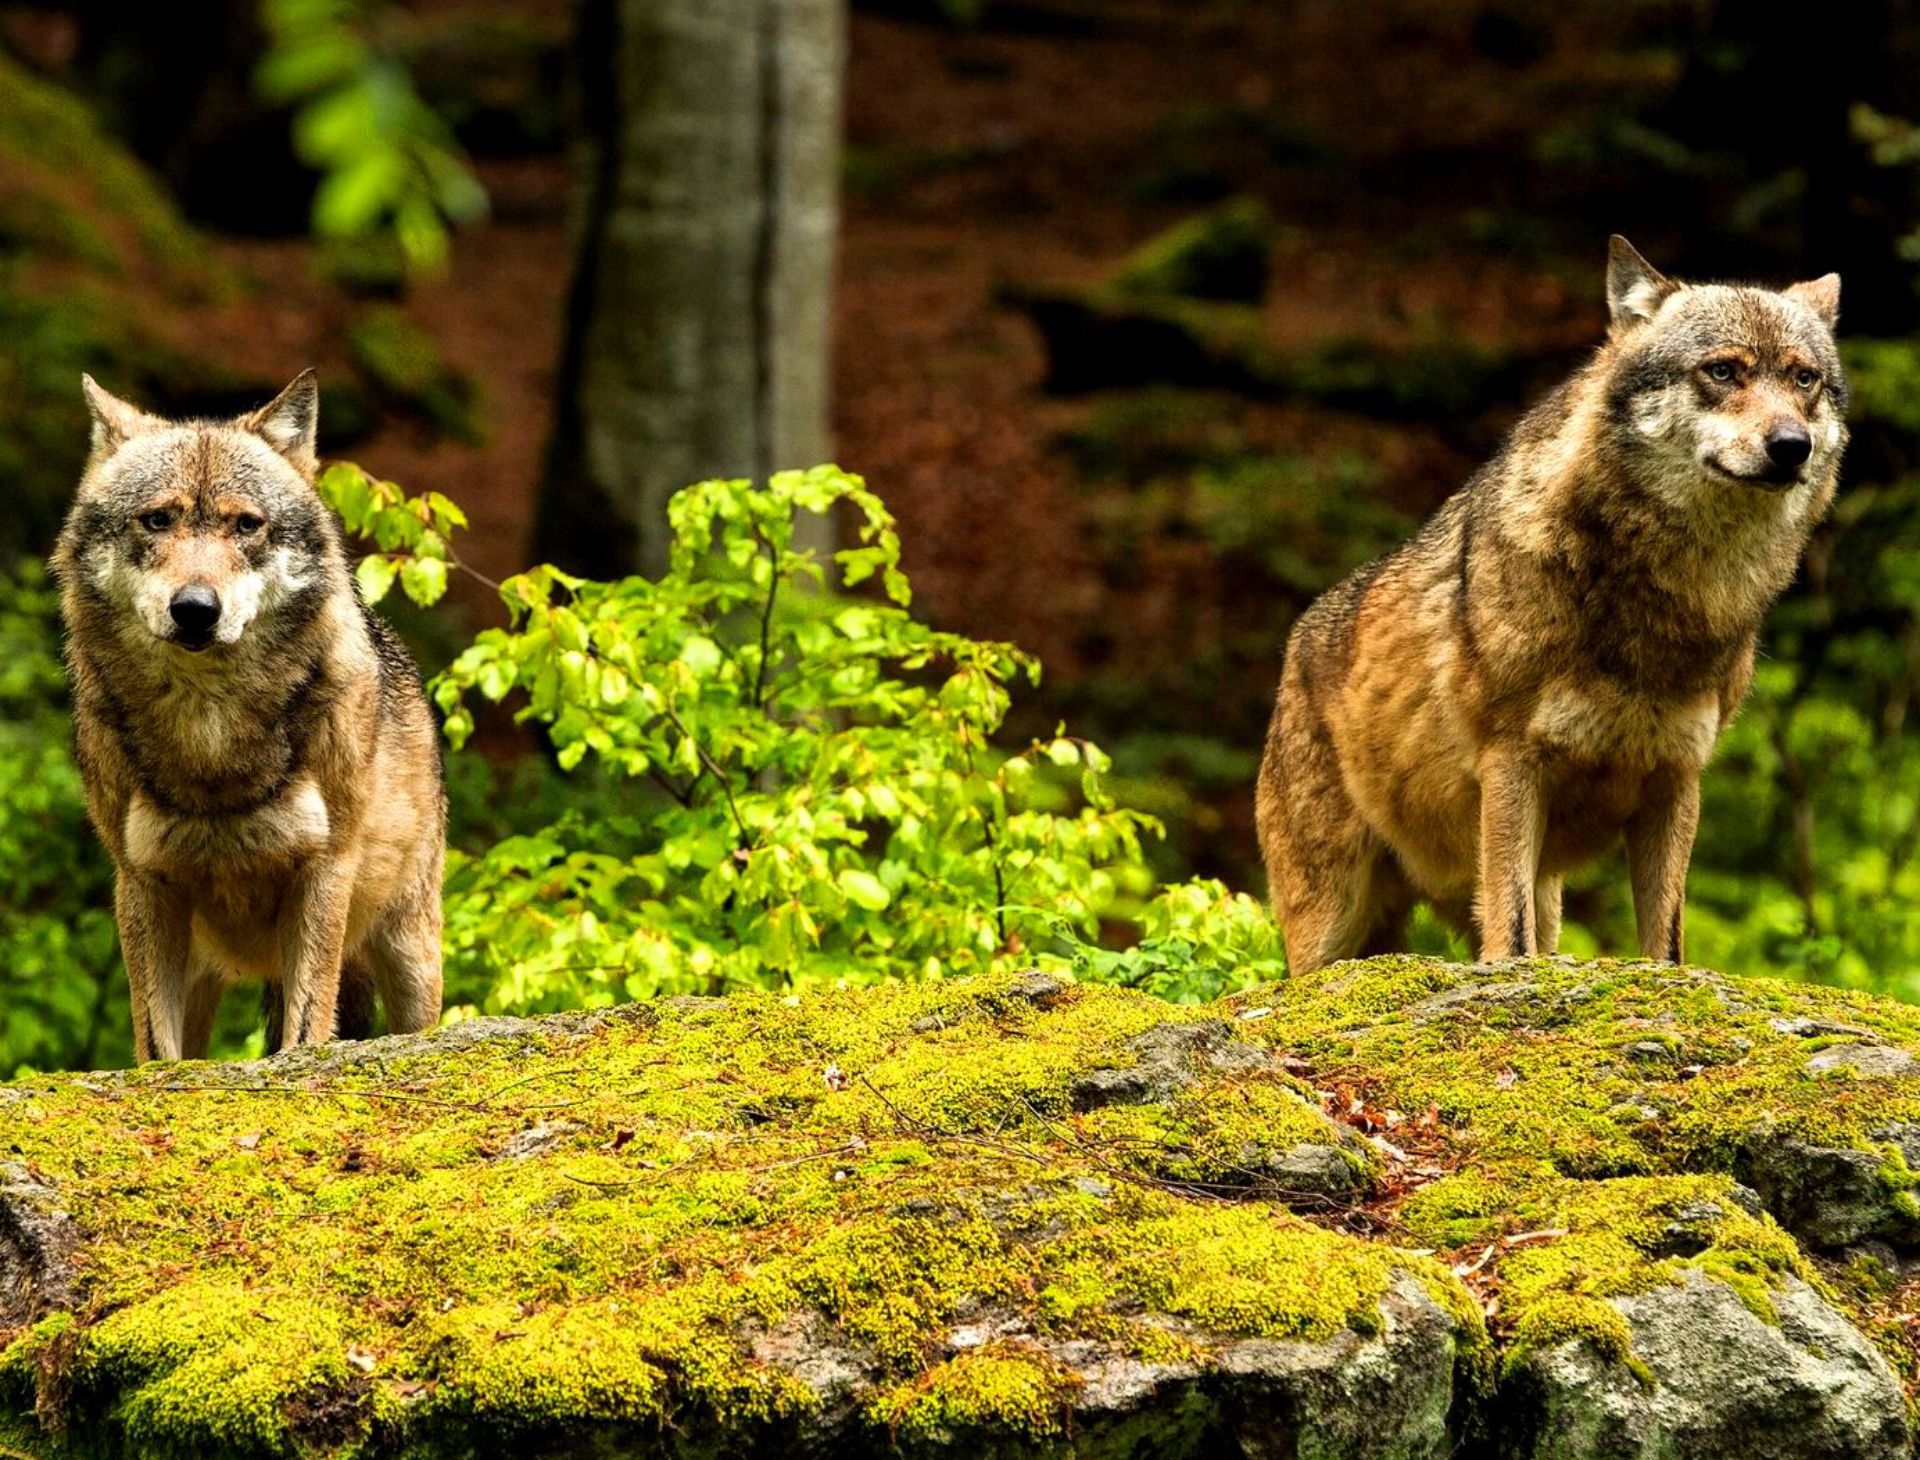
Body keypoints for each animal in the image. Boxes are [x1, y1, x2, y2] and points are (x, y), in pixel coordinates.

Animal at [53, 372, 445, 1060]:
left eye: (245, 525)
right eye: (158, 519)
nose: (195, 609)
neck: (210, 734)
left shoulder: (325, 870)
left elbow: (306, 1029)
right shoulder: (140, 882)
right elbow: (157, 1048)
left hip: (408, 954)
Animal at [1259, 236, 1843, 968]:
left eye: (1803, 380)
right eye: (1723, 371)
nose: (1792, 446)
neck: (1662, 605)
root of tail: (1296, 643)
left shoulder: (1677, 780)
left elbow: (1665, 946)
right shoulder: (1511, 764)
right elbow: (1510, 944)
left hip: (1538, 898)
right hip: (1329, 927)